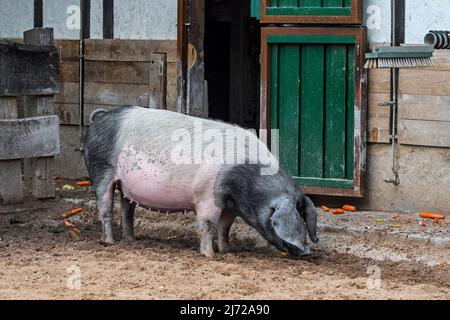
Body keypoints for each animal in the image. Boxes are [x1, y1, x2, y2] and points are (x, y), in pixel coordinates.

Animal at [83, 107, 316, 258]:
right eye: (294, 215)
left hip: (125, 185)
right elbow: (208, 224)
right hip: (101, 170)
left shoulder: (229, 203)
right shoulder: (208, 196)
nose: (306, 252)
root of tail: (99, 119)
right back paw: (109, 242)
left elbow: (225, 226)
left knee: (127, 209)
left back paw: (132, 240)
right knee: (105, 208)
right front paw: (210, 255)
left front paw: (228, 251)